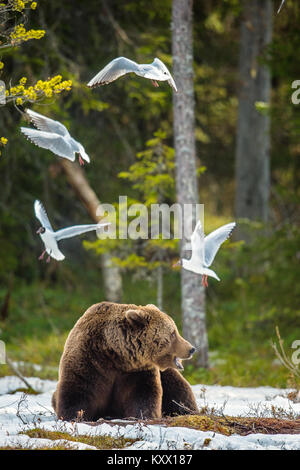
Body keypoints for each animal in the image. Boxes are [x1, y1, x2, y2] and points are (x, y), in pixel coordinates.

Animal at [52, 302, 198, 420]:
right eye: (173, 333)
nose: (191, 349)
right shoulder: (89, 360)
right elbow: (77, 392)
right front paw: (74, 416)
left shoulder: (136, 371)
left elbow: (142, 394)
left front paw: (143, 415)